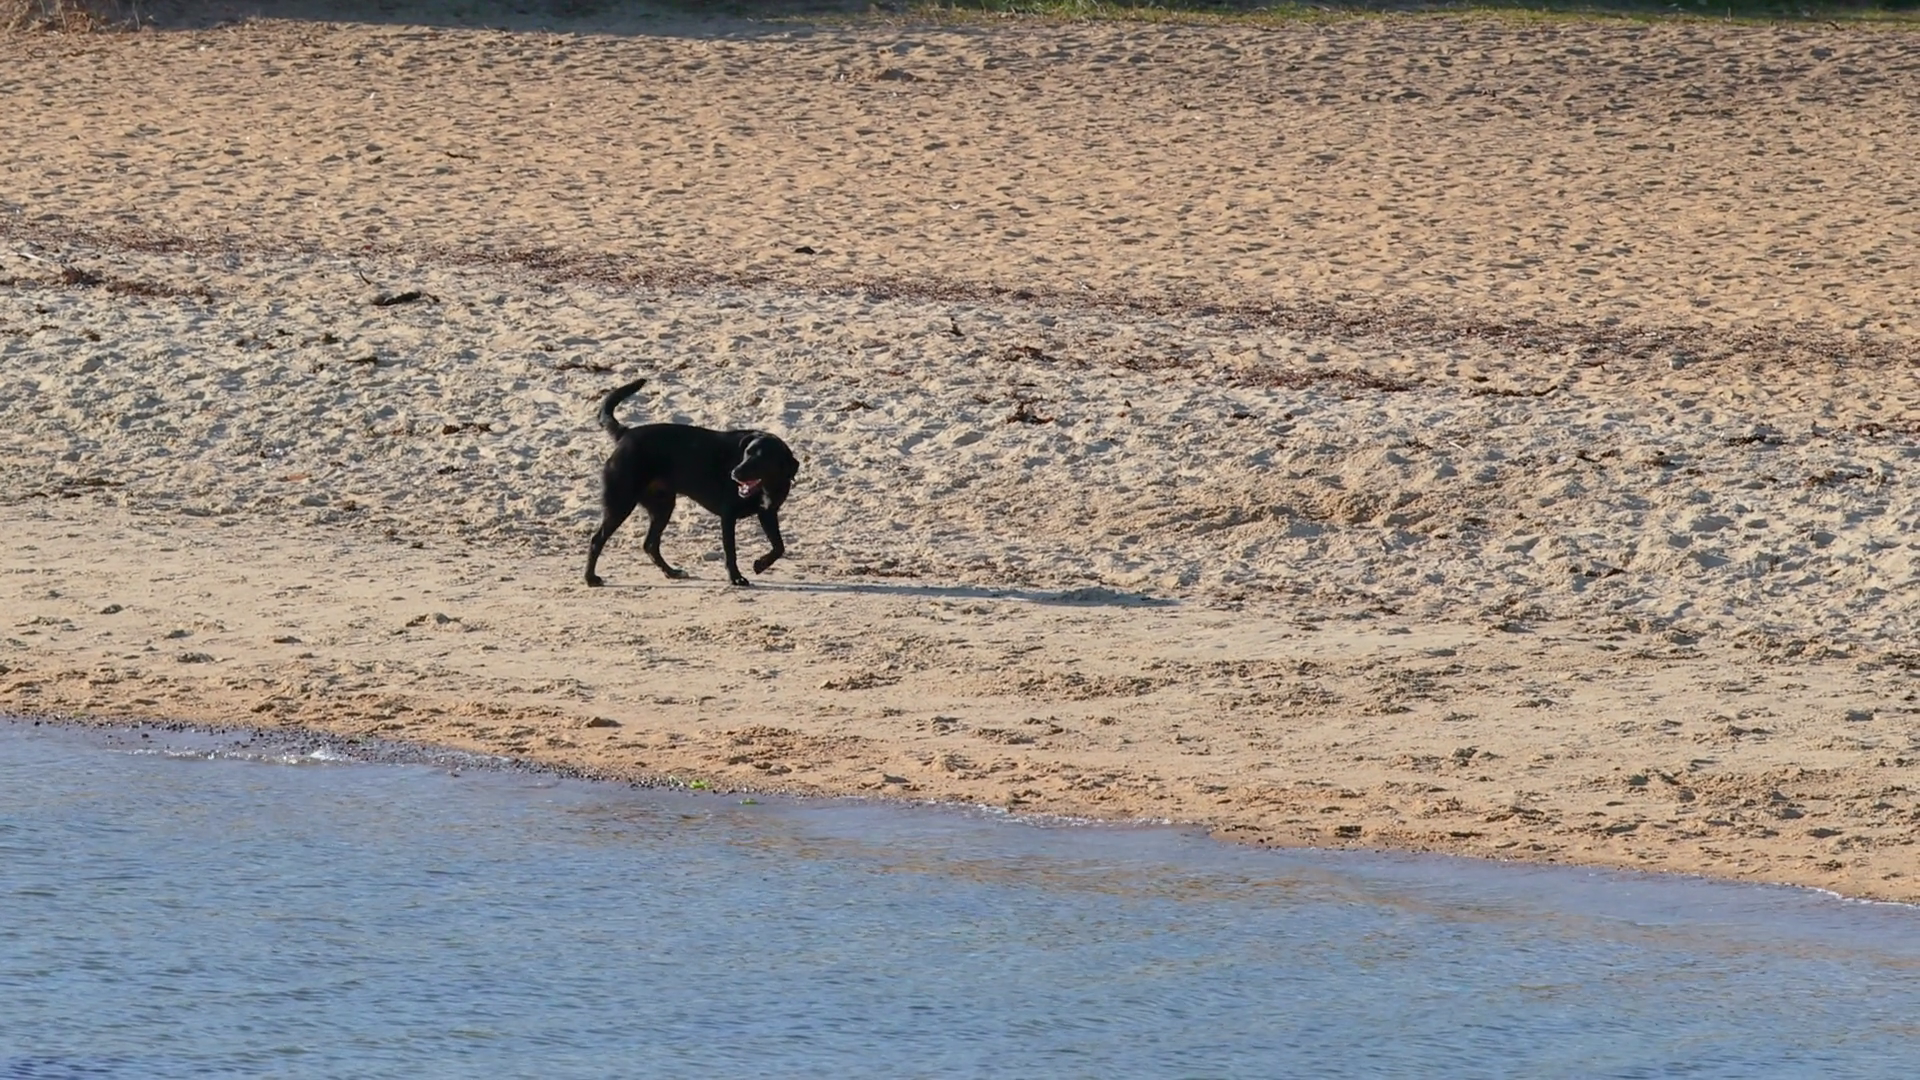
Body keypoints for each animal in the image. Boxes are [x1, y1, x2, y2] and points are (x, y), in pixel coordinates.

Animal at [584, 378, 799, 589]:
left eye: (760, 459)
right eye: (746, 454)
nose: (734, 473)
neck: (767, 487)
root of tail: (625, 434)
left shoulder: (768, 513)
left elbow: (779, 546)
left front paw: (760, 564)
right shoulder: (728, 516)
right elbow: (731, 552)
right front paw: (736, 578)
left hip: (662, 507)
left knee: (650, 544)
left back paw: (672, 572)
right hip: (621, 503)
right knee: (597, 540)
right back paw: (590, 578)